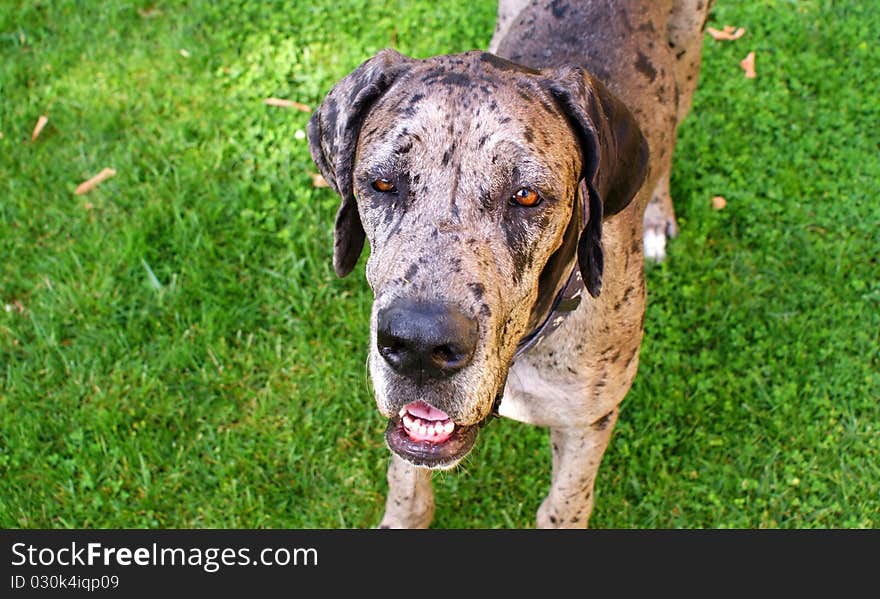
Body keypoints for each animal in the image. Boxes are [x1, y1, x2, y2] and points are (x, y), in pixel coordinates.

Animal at [306, 0, 712, 528]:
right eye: (381, 184)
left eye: (525, 196)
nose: (419, 346)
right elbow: (406, 491)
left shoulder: (589, 422)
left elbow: (565, 507)